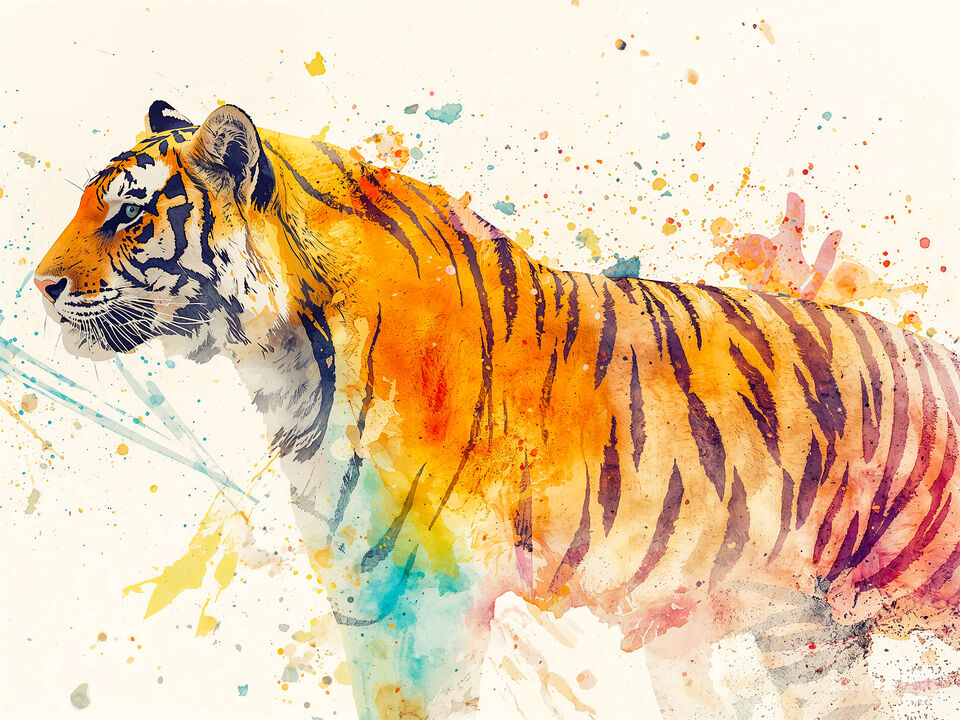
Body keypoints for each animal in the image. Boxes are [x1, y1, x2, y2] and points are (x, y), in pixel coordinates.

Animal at [34, 100, 960, 720]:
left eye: (129, 213)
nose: (40, 285)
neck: (284, 365)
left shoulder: (431, 594)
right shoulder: (362, 590)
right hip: (806, 633)